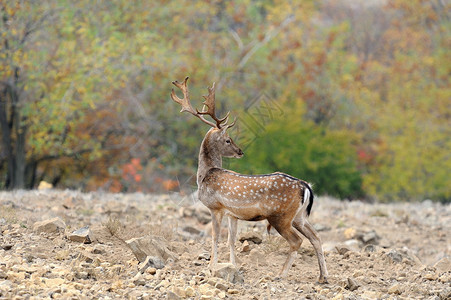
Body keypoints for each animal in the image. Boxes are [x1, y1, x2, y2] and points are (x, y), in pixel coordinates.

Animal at [171, 76, 330, 282]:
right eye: (228, 140)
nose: (240, 151)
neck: (205, 175)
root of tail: (306, 186)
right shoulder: (232, 213)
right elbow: (231, 240)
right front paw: (233, 266)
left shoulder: (215, 207)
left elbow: (215, 237)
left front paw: (211, 267)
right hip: (299, 216)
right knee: (316, 237)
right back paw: (323, 276)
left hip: (281, 216)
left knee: (297, 241)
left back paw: (280, 274)